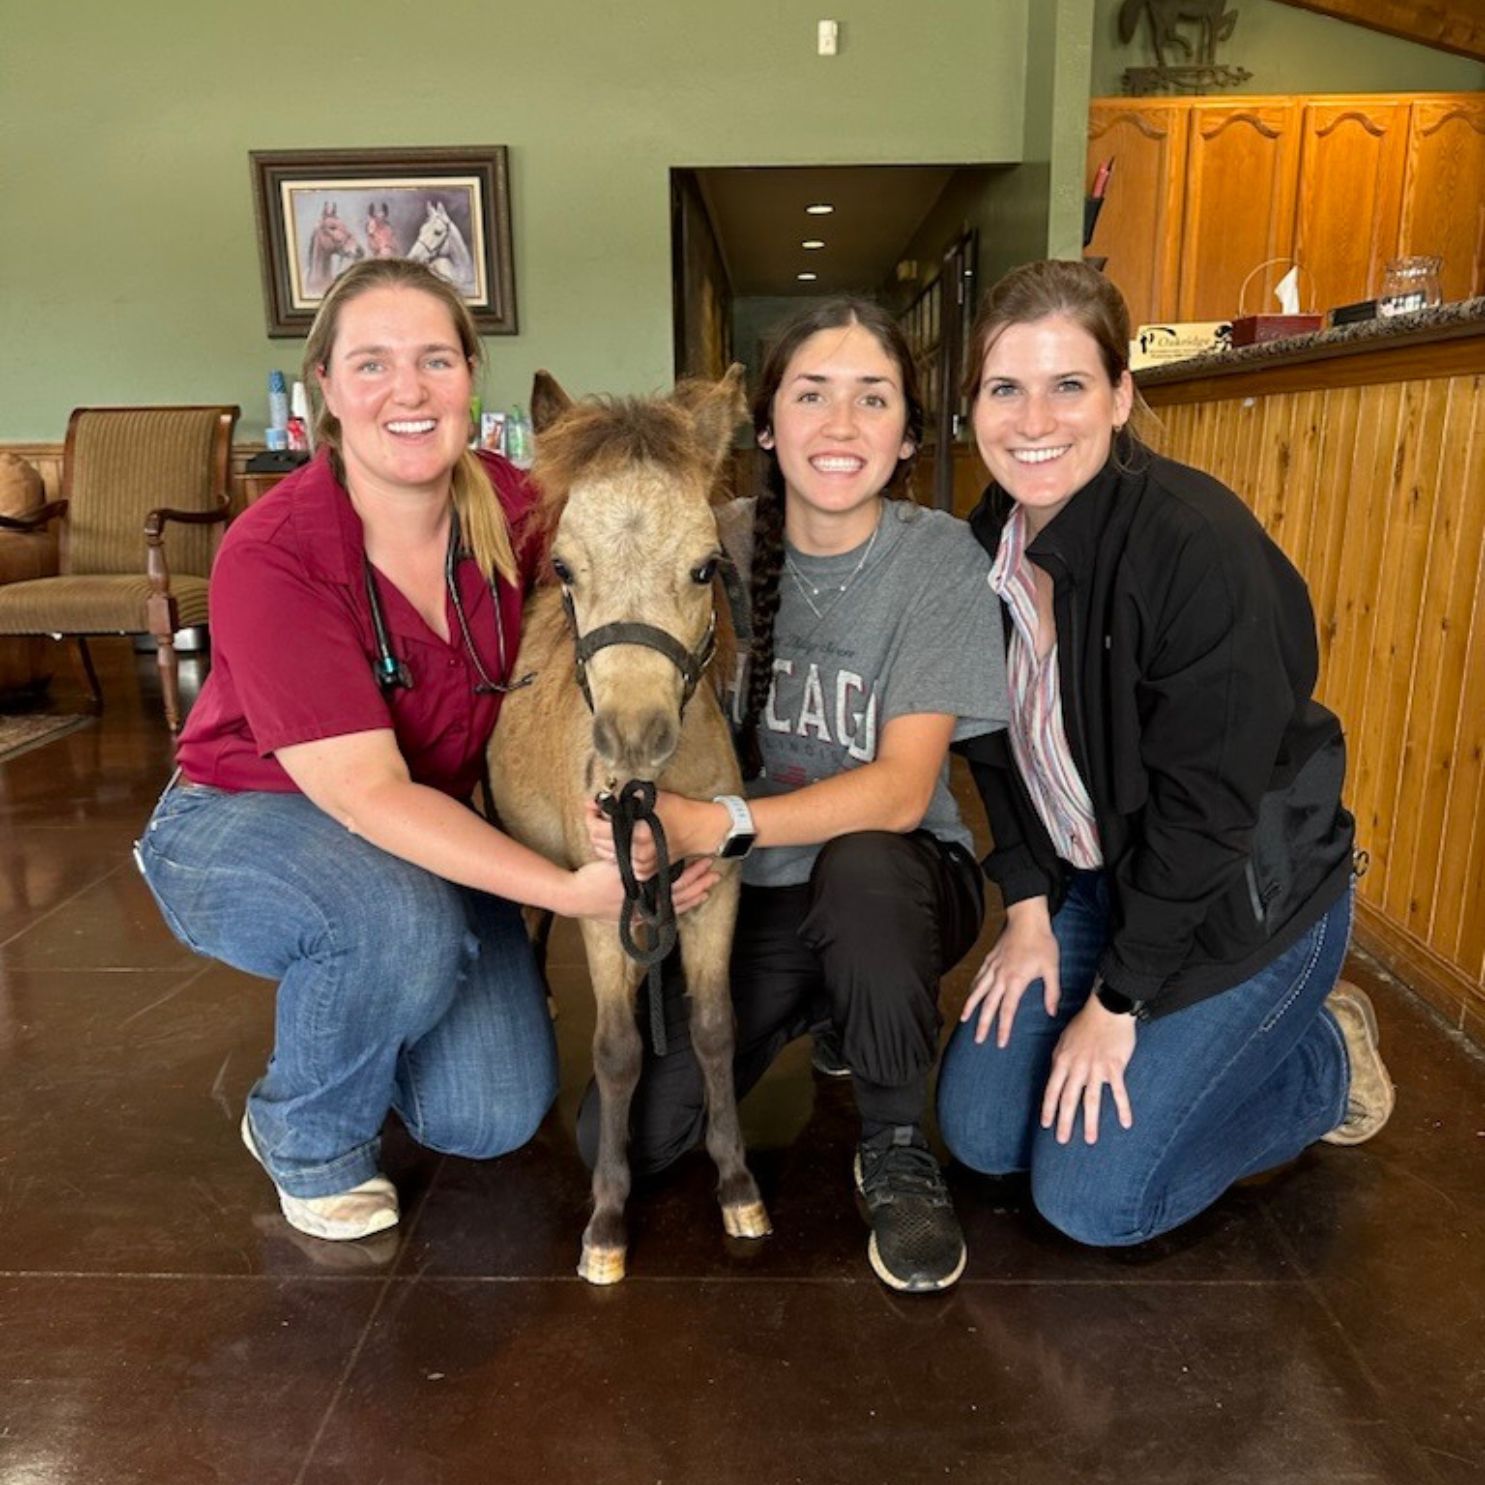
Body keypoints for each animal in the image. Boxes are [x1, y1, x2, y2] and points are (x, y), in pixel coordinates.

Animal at [487, 366, 771, 1285]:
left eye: (704, 566)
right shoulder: (600, 905)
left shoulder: (717, 893)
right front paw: (607, 1219)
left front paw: (736, 1182)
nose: (631, 736)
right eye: (565, 566)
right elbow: (616, 1052)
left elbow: (715, 1030)